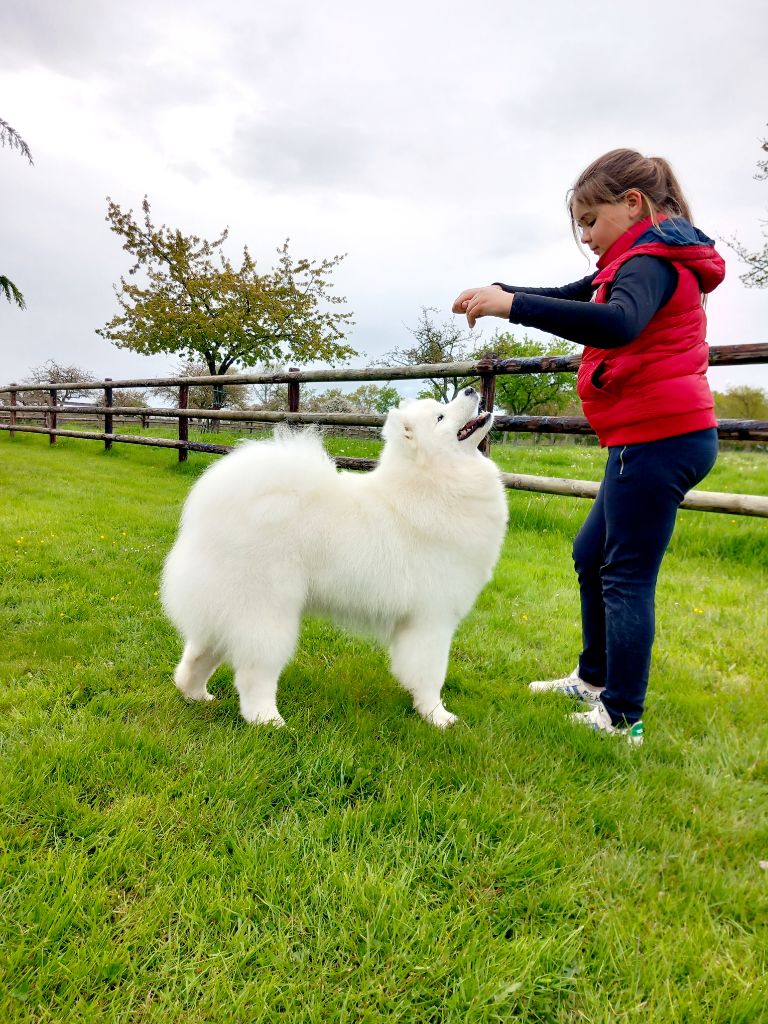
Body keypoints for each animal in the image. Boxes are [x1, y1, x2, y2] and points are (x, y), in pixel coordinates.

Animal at [160, 385, 512, 729]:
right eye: (441, 416)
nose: (470, 390)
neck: (433, 481)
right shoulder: (432, 619)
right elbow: (430, 674)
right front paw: (437, 717)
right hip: (266, 612)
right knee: (254, 672)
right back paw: (268, 721)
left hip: (224, 607)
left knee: (199, 652)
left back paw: (195, 694)